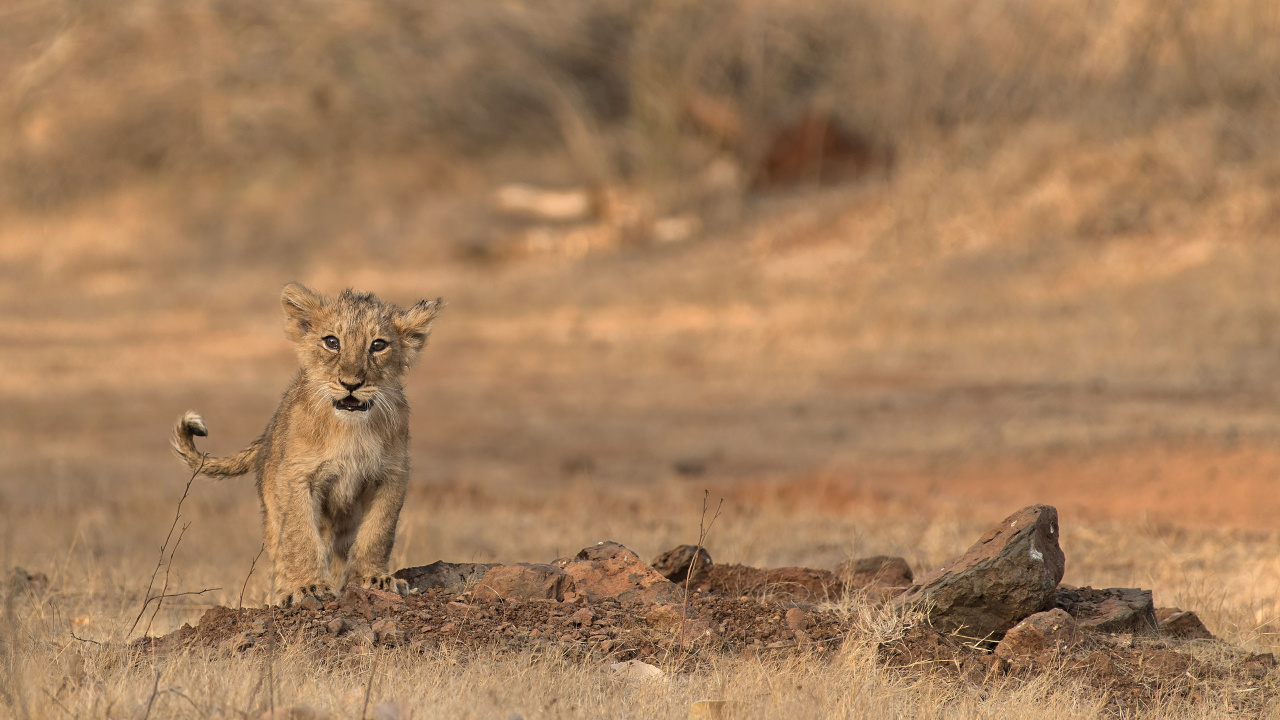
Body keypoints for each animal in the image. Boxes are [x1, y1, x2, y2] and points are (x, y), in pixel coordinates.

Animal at [172, 283, 443, 606]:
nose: (351, 383)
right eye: (332, 342)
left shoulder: (391, 476)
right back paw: (282, 594)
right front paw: (310, 586)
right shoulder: (296, 477)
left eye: (378, 345)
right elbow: (301, 535)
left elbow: (378, 531)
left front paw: (373, 579)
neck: (349, 429)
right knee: (281, 553)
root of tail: (267, 431)